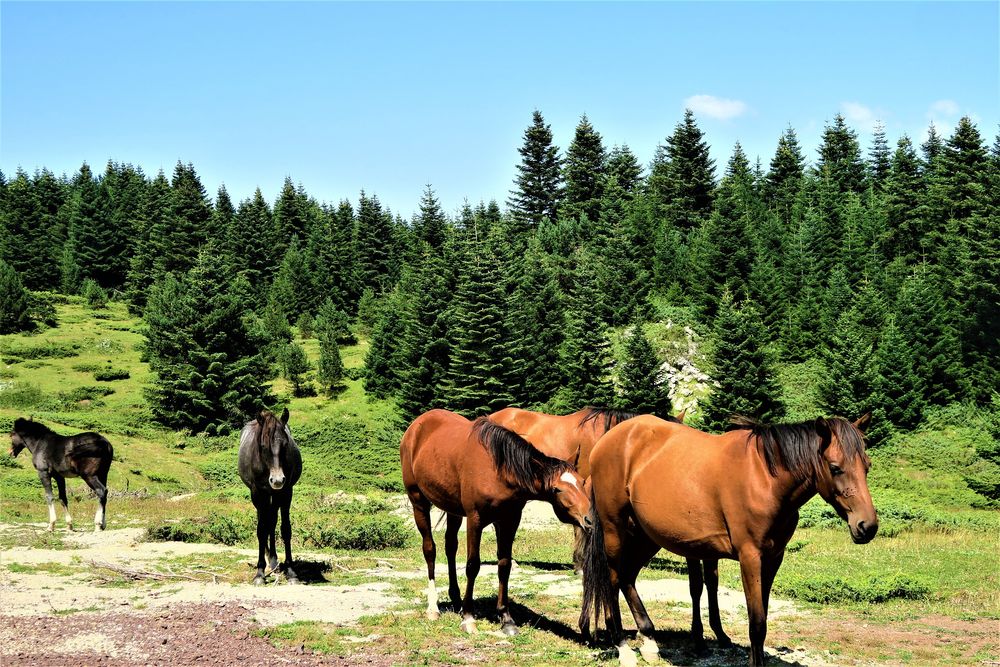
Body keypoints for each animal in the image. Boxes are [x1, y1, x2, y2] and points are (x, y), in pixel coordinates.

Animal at [237, 410, 300, 588]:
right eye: (263, 446)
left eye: (285, 444)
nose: (277, 480)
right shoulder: (258, 494)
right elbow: (261, 530)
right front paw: (259, 573)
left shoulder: (286, 492)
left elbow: (285, 529)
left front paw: (291, 571)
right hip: (261, 497)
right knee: (265, 521)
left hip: (275, 496)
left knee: (272, 521)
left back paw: (273, 559)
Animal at [400, 408, 592, 636]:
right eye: (557, 489)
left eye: (582, 482)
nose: (589, 518)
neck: (499, 471)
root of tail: (416, 427)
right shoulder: (475, 520)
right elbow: (473, 565)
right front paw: (468, 617)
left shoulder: (509, 520)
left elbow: (504, 564)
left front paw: (506, 618)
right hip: (418, 502)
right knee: (430, 549)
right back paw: (433, 607)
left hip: (452, 509)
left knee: (450, 547)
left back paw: (456, 598)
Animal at [580, 414, 876, 664]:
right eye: (835, 468)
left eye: (867, 466)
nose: (867, 525)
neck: (765, 479)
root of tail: (610, 439)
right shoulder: (750, 558)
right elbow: (756, 623)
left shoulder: (773, 558)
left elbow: (760, 615)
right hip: (614, 528)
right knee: (613, 577)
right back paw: (622, 645)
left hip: (646, 536)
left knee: (627, 577)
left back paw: (649, 639)